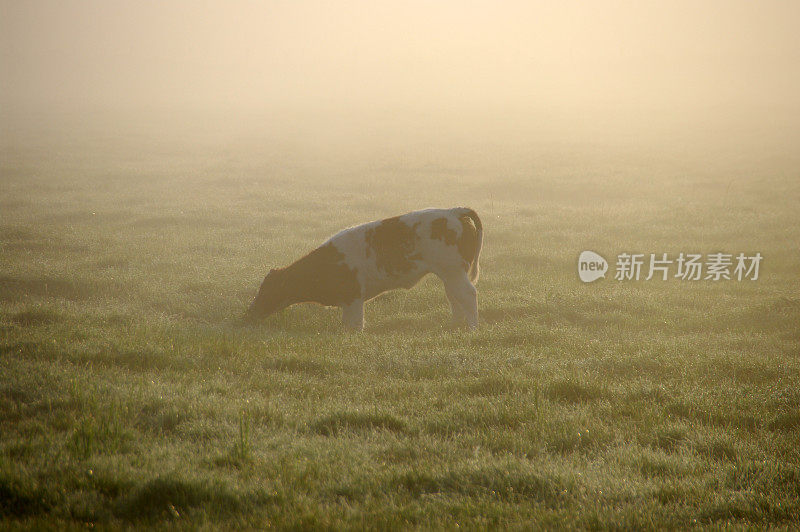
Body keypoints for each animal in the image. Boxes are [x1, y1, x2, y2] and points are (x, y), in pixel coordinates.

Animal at [244, 207, 482, 328]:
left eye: (268, 290)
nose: (250, 313)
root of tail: (453, 212)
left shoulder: (354, 299)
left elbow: (354, 325)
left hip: (453, 273)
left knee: (468, 295)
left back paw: (471, 328)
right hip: (449, 275)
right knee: (454, 298)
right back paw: (454, 325)